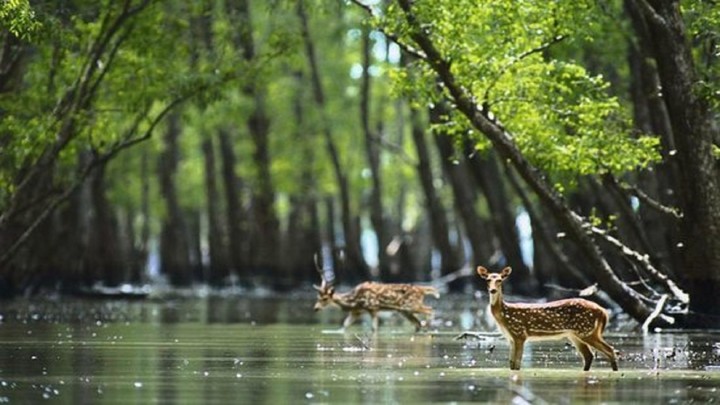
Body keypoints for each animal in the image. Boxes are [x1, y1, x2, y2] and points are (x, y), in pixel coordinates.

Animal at [476, 266, 618, 371]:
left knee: (610, 350)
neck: (504, 316)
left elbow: (517, 364)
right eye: (487, 279)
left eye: (500, 280)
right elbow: (511, 364)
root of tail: (603, 311)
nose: (493, 290)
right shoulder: (511, 338)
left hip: (586, 330)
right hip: (576, 334)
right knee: (589, 356)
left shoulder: (519, 334)